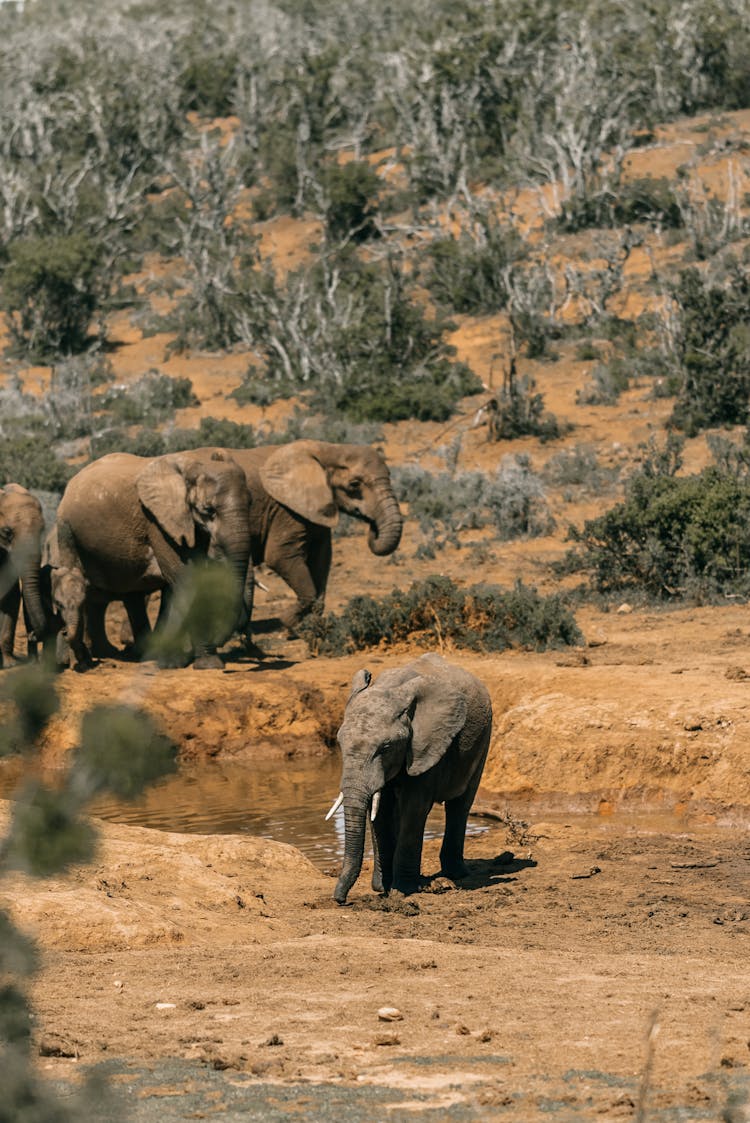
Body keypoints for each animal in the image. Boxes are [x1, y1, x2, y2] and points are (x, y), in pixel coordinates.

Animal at [53, 446, 251, 669]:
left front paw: (171, 661)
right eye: (208, 510)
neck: (190, 462)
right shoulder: (158, 522)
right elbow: (187, 578)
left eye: (251, 503)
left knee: (133, 595)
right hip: (66, 530)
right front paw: (208, 665)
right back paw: (81, 663)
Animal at [325, 655, 491, 907]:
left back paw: (455, 875)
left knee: (460, 804)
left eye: (385, 747)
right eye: (339, 743)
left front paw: (402, 890)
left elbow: (414, 807)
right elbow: (380, 810)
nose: (340, 900)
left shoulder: (427, 744)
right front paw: (382, 887)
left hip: (484, 739)